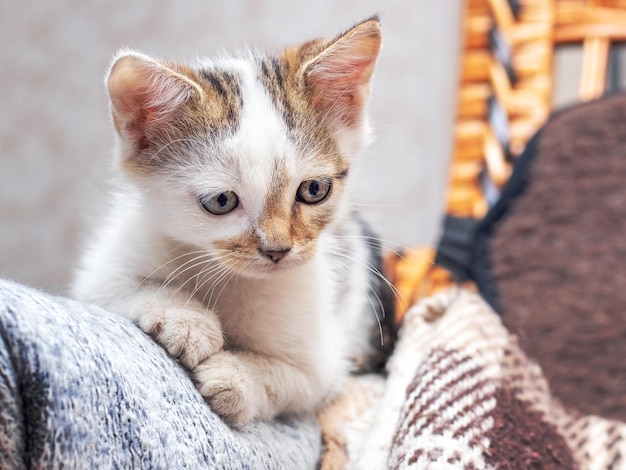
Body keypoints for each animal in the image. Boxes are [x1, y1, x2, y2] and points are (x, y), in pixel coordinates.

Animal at [73, 16, 394, 424]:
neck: (228, 275)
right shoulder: (109, 265)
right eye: (222, 201)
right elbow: (118, 286)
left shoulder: (323, 364)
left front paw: (236, 377)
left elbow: (294, 379)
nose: (277, 250)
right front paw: (186, 320)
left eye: (313, 190)